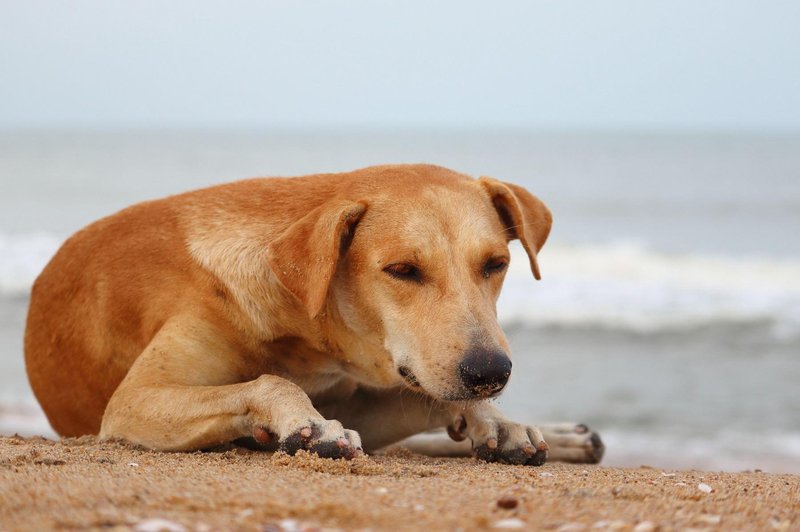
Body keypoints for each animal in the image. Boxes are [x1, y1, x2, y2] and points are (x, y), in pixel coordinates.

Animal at [23, 163, 600, 466]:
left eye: (496, 264)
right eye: (403, 270)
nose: (490, 374)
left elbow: (427, 398)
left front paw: (500, 420)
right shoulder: (133, 403)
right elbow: (270, 382)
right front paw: (308, 423)